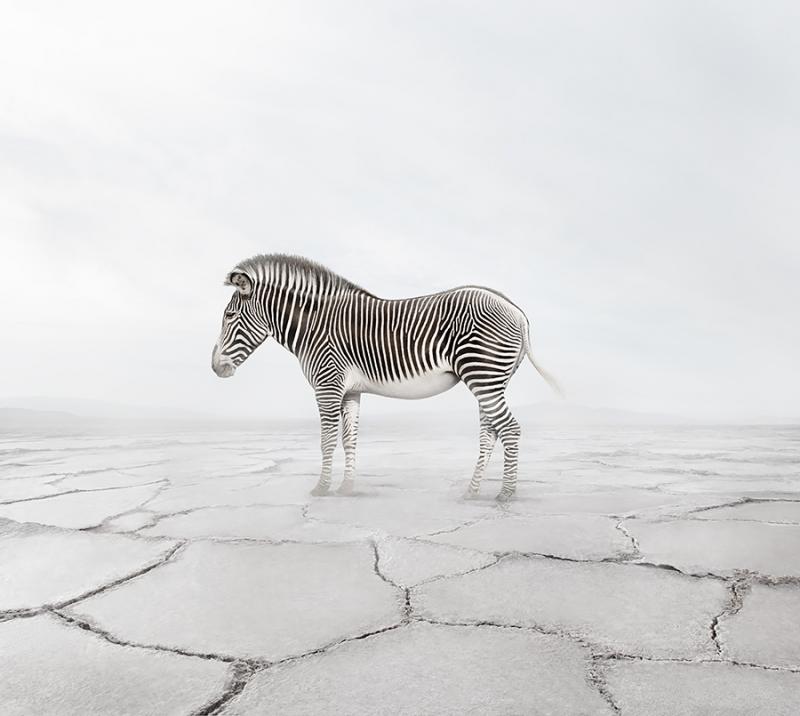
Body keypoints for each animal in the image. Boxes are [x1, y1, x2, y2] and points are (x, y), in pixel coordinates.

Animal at [211, 254, 560, 501]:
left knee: (510, 429)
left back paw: (506, 494)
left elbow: (327, 441)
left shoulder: (327, 385)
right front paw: (347, 487)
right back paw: (472, 492)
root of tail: (515, 309)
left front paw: (321, 488)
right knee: (490, 433)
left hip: (484, 376)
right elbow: (348, 439)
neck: (315, 325)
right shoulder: (349, 391)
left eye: (229, 315)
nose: (216, 368)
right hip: (490, 380)